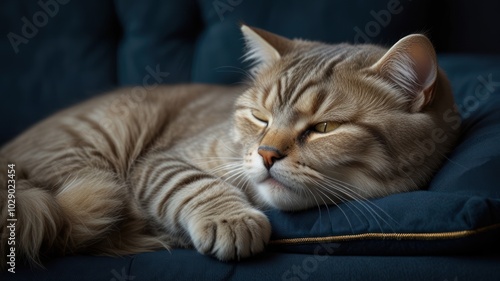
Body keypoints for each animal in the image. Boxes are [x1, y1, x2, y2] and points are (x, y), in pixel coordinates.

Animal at [0, 25, 460, 266]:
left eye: (325, 127)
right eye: (260, 118)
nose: (267, 153)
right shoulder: (161, 161)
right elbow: (194, 183)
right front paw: (230, 218)